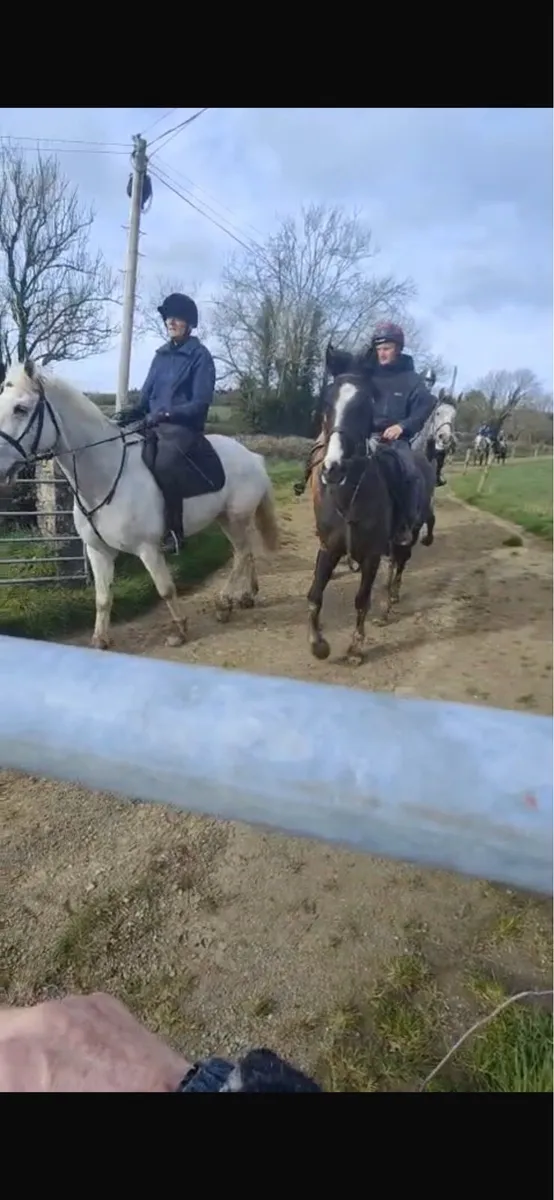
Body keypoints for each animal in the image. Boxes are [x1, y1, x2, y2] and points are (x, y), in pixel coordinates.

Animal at [0, 361, 279, 650]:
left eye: (21, 408)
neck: (107, 475)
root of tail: (253, 457)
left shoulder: (148, 548)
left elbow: (165, 589)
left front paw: (180, 631)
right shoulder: (98, 551)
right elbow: (102, 598)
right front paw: (100, 639)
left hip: (236, 517)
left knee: (242, 553)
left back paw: (224, 604)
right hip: (226, 518)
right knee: (246, 551)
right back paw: (247, 595)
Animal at [306, 345, 436, 664]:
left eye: (364, 404)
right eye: (327, 401)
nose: (332, 468)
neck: (350, 497)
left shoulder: (371, 556)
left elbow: (361, 599)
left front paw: (355, 648)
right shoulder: (330, 548)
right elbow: (315, 595)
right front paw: (318, 644)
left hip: (408, 536)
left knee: (398, 568)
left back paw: (389, 605)